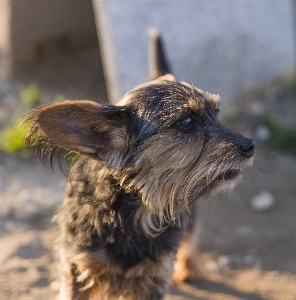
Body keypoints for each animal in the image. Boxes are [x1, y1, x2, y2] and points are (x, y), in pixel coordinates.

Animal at [23, 30, 254, 300]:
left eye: (216, 113)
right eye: (186, 121)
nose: (250, 145)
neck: (135, 211)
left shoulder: (153, 276)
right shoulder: (78, 269)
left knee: (190, 238)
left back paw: (190, 269)